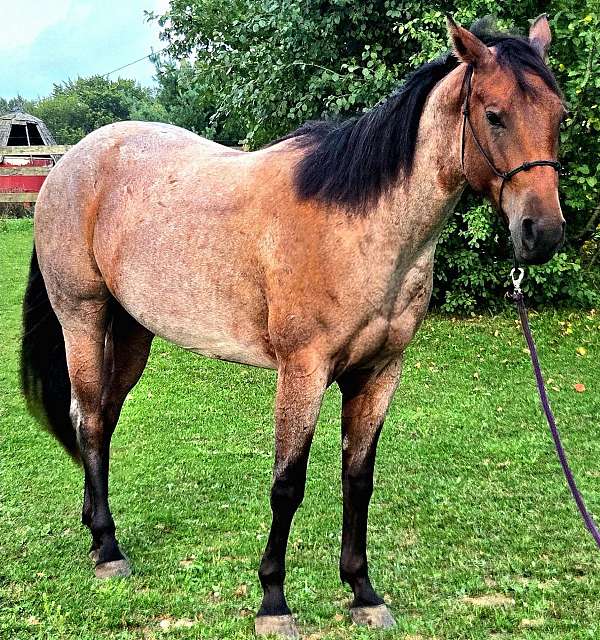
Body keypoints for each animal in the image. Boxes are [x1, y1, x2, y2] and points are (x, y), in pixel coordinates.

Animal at [21, 15, 566, 638]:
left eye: (559, 115)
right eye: (494, 114)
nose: (542, 232)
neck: (358, 223)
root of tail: (69, 164)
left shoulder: (378, 373)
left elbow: (358, 479)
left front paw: (362, 592)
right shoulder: (302, 372)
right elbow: (288, 484)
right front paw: (273, 602)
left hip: (133, 331)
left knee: (104, 418)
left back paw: (95, 528)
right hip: (83, 317)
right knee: (87, 419)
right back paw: (109, 550)